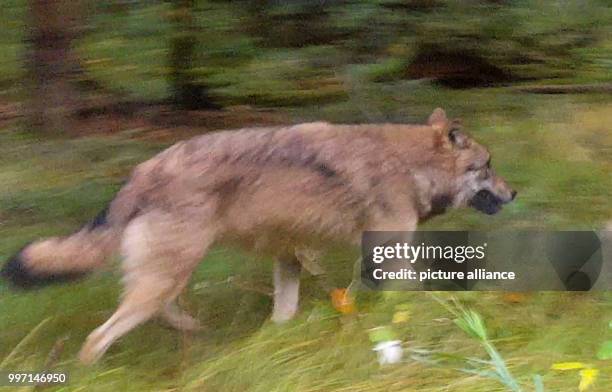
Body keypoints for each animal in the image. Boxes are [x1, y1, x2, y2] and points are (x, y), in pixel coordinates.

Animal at [0, 108, 516, 364]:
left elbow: (285, 316)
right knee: (98, 338)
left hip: (166, 277)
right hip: (167, 275)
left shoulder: (289, 257)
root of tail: (141, 172)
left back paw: (199, 335)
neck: (412, 166)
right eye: (489, 166)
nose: (514, 192)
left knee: (163, 314)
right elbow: (411, 299)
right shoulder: (389, 252)